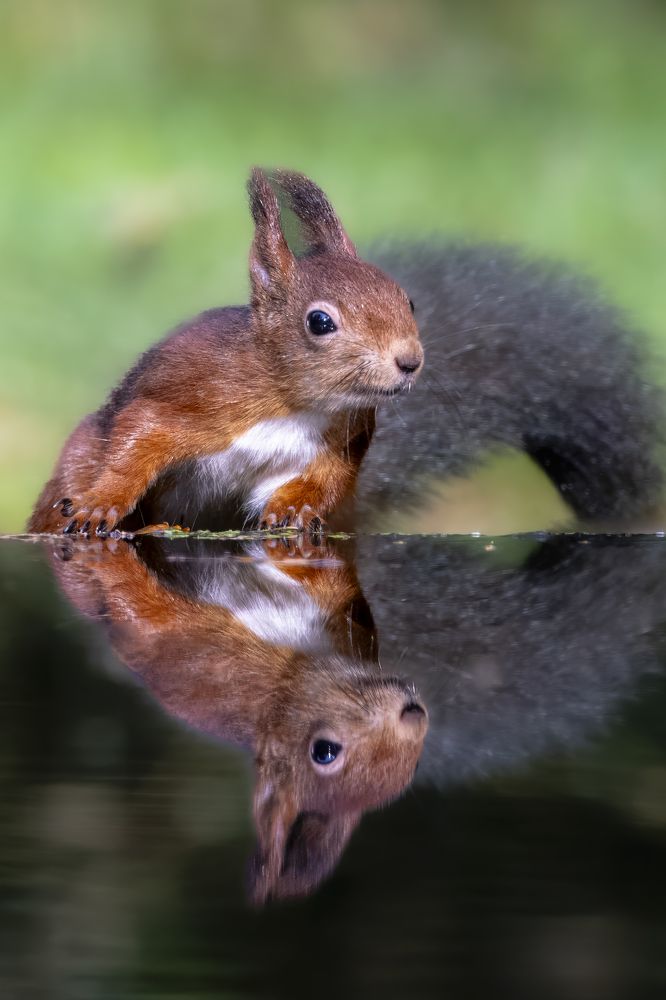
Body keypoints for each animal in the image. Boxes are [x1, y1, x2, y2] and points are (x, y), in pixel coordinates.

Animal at [27, 169, 663, 535]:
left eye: (408, 299)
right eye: (320, 322)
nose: (409, 361)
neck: (291, 399)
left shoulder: (343, 439)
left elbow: (321, 482)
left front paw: (293, 510)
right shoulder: (184, 393)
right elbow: (135, 442)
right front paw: (102, 504)